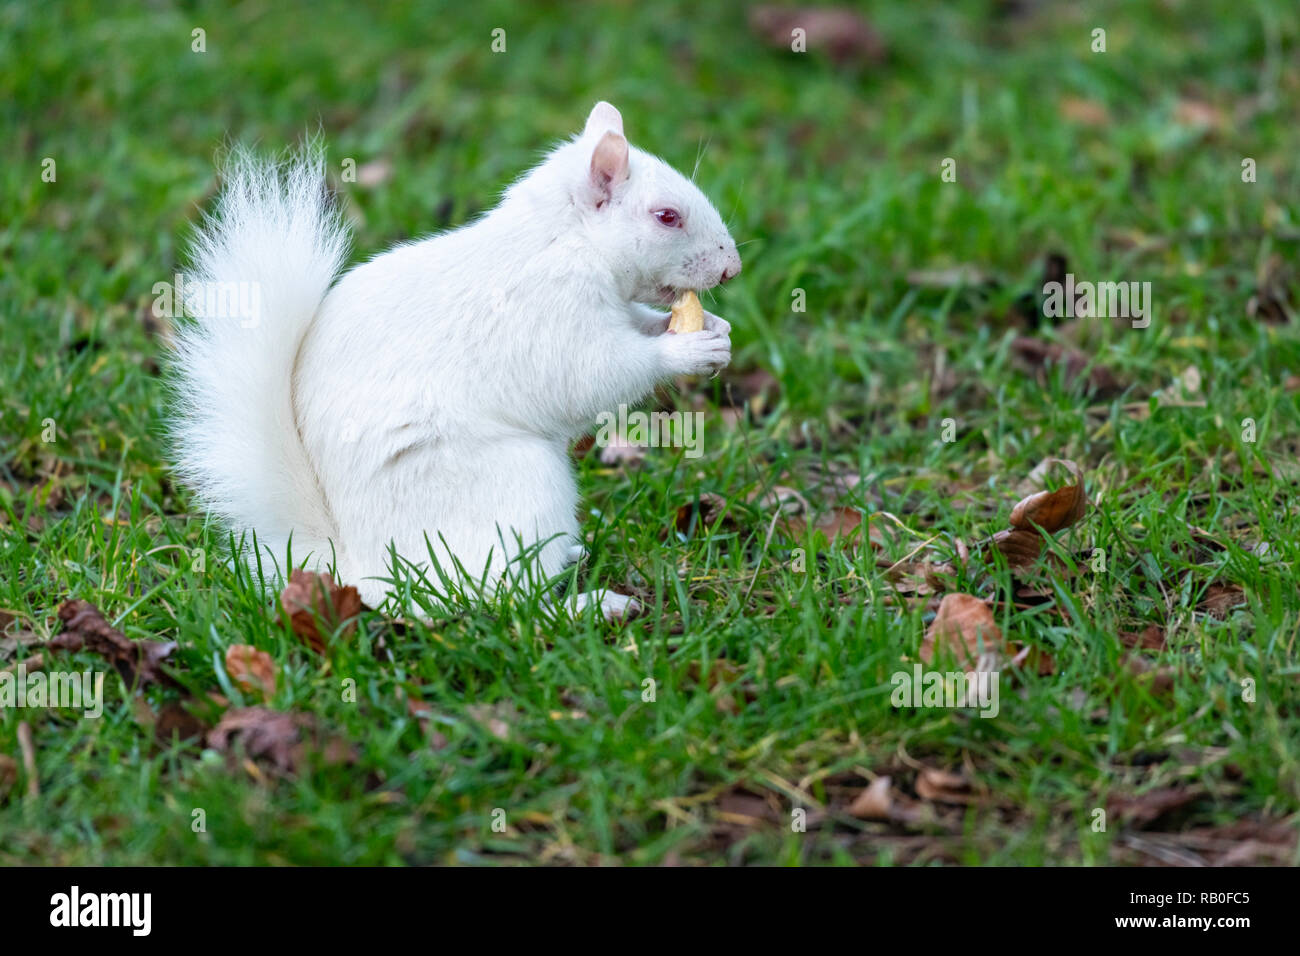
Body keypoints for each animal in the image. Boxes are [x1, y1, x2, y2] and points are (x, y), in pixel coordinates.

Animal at [168, 102, 741, 615]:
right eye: (667, 217)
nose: (732, 268)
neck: (565, 240)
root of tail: (365, 573)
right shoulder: (546, 316)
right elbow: (594, 373)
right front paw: (685, 349)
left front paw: (714, 329)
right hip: (518, 486)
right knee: (504, 602)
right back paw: (591, 605)